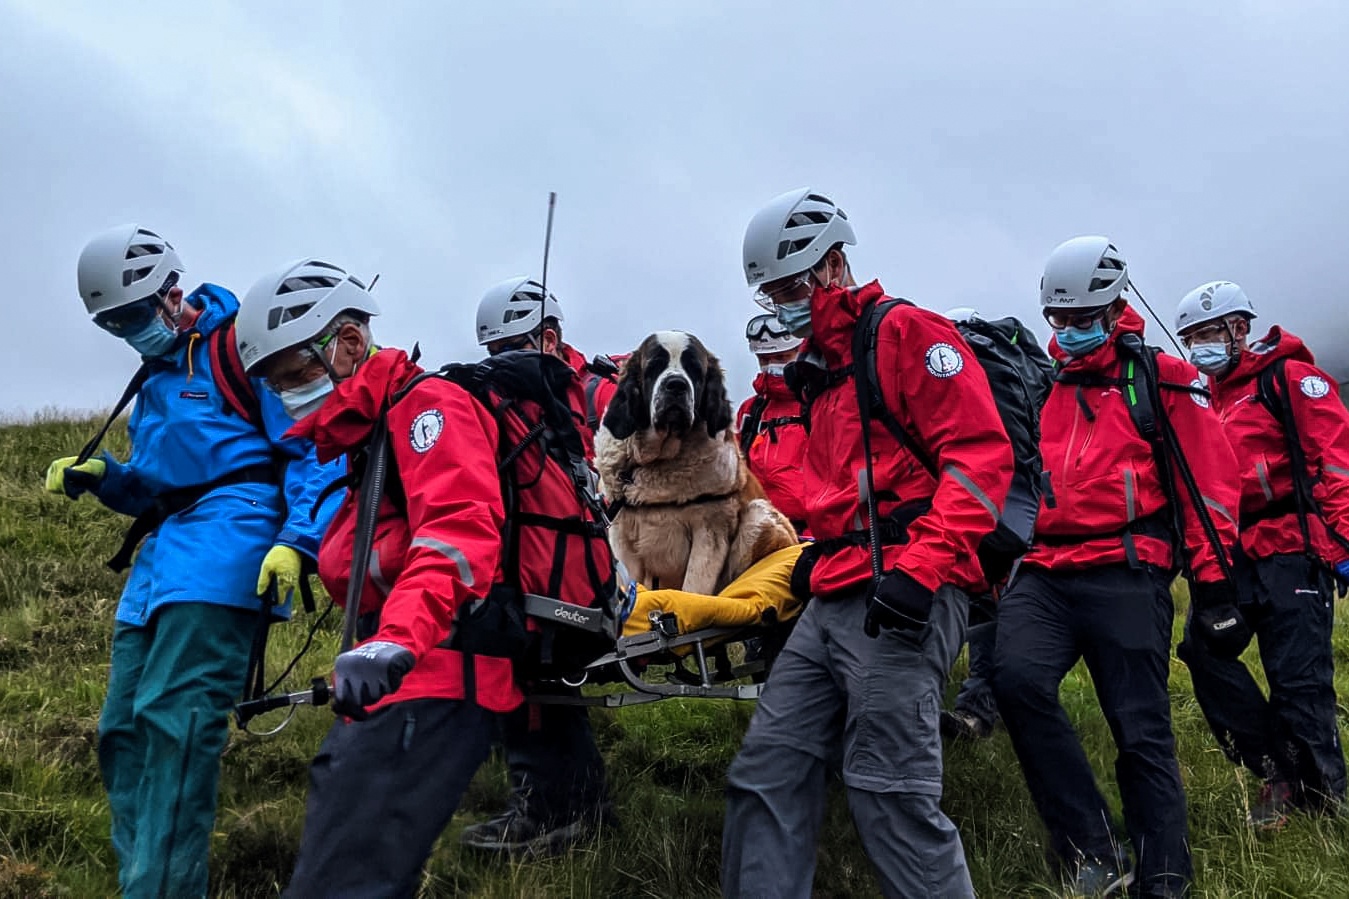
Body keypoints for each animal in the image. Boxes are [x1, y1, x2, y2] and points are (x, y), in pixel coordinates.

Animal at [593, 329, 798, 593]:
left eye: (694, 369)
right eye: (655, 366)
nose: (676, 385)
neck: (658, 461)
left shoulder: (709, 532)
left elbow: (694, 588)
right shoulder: (621, 536)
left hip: (759, 517)